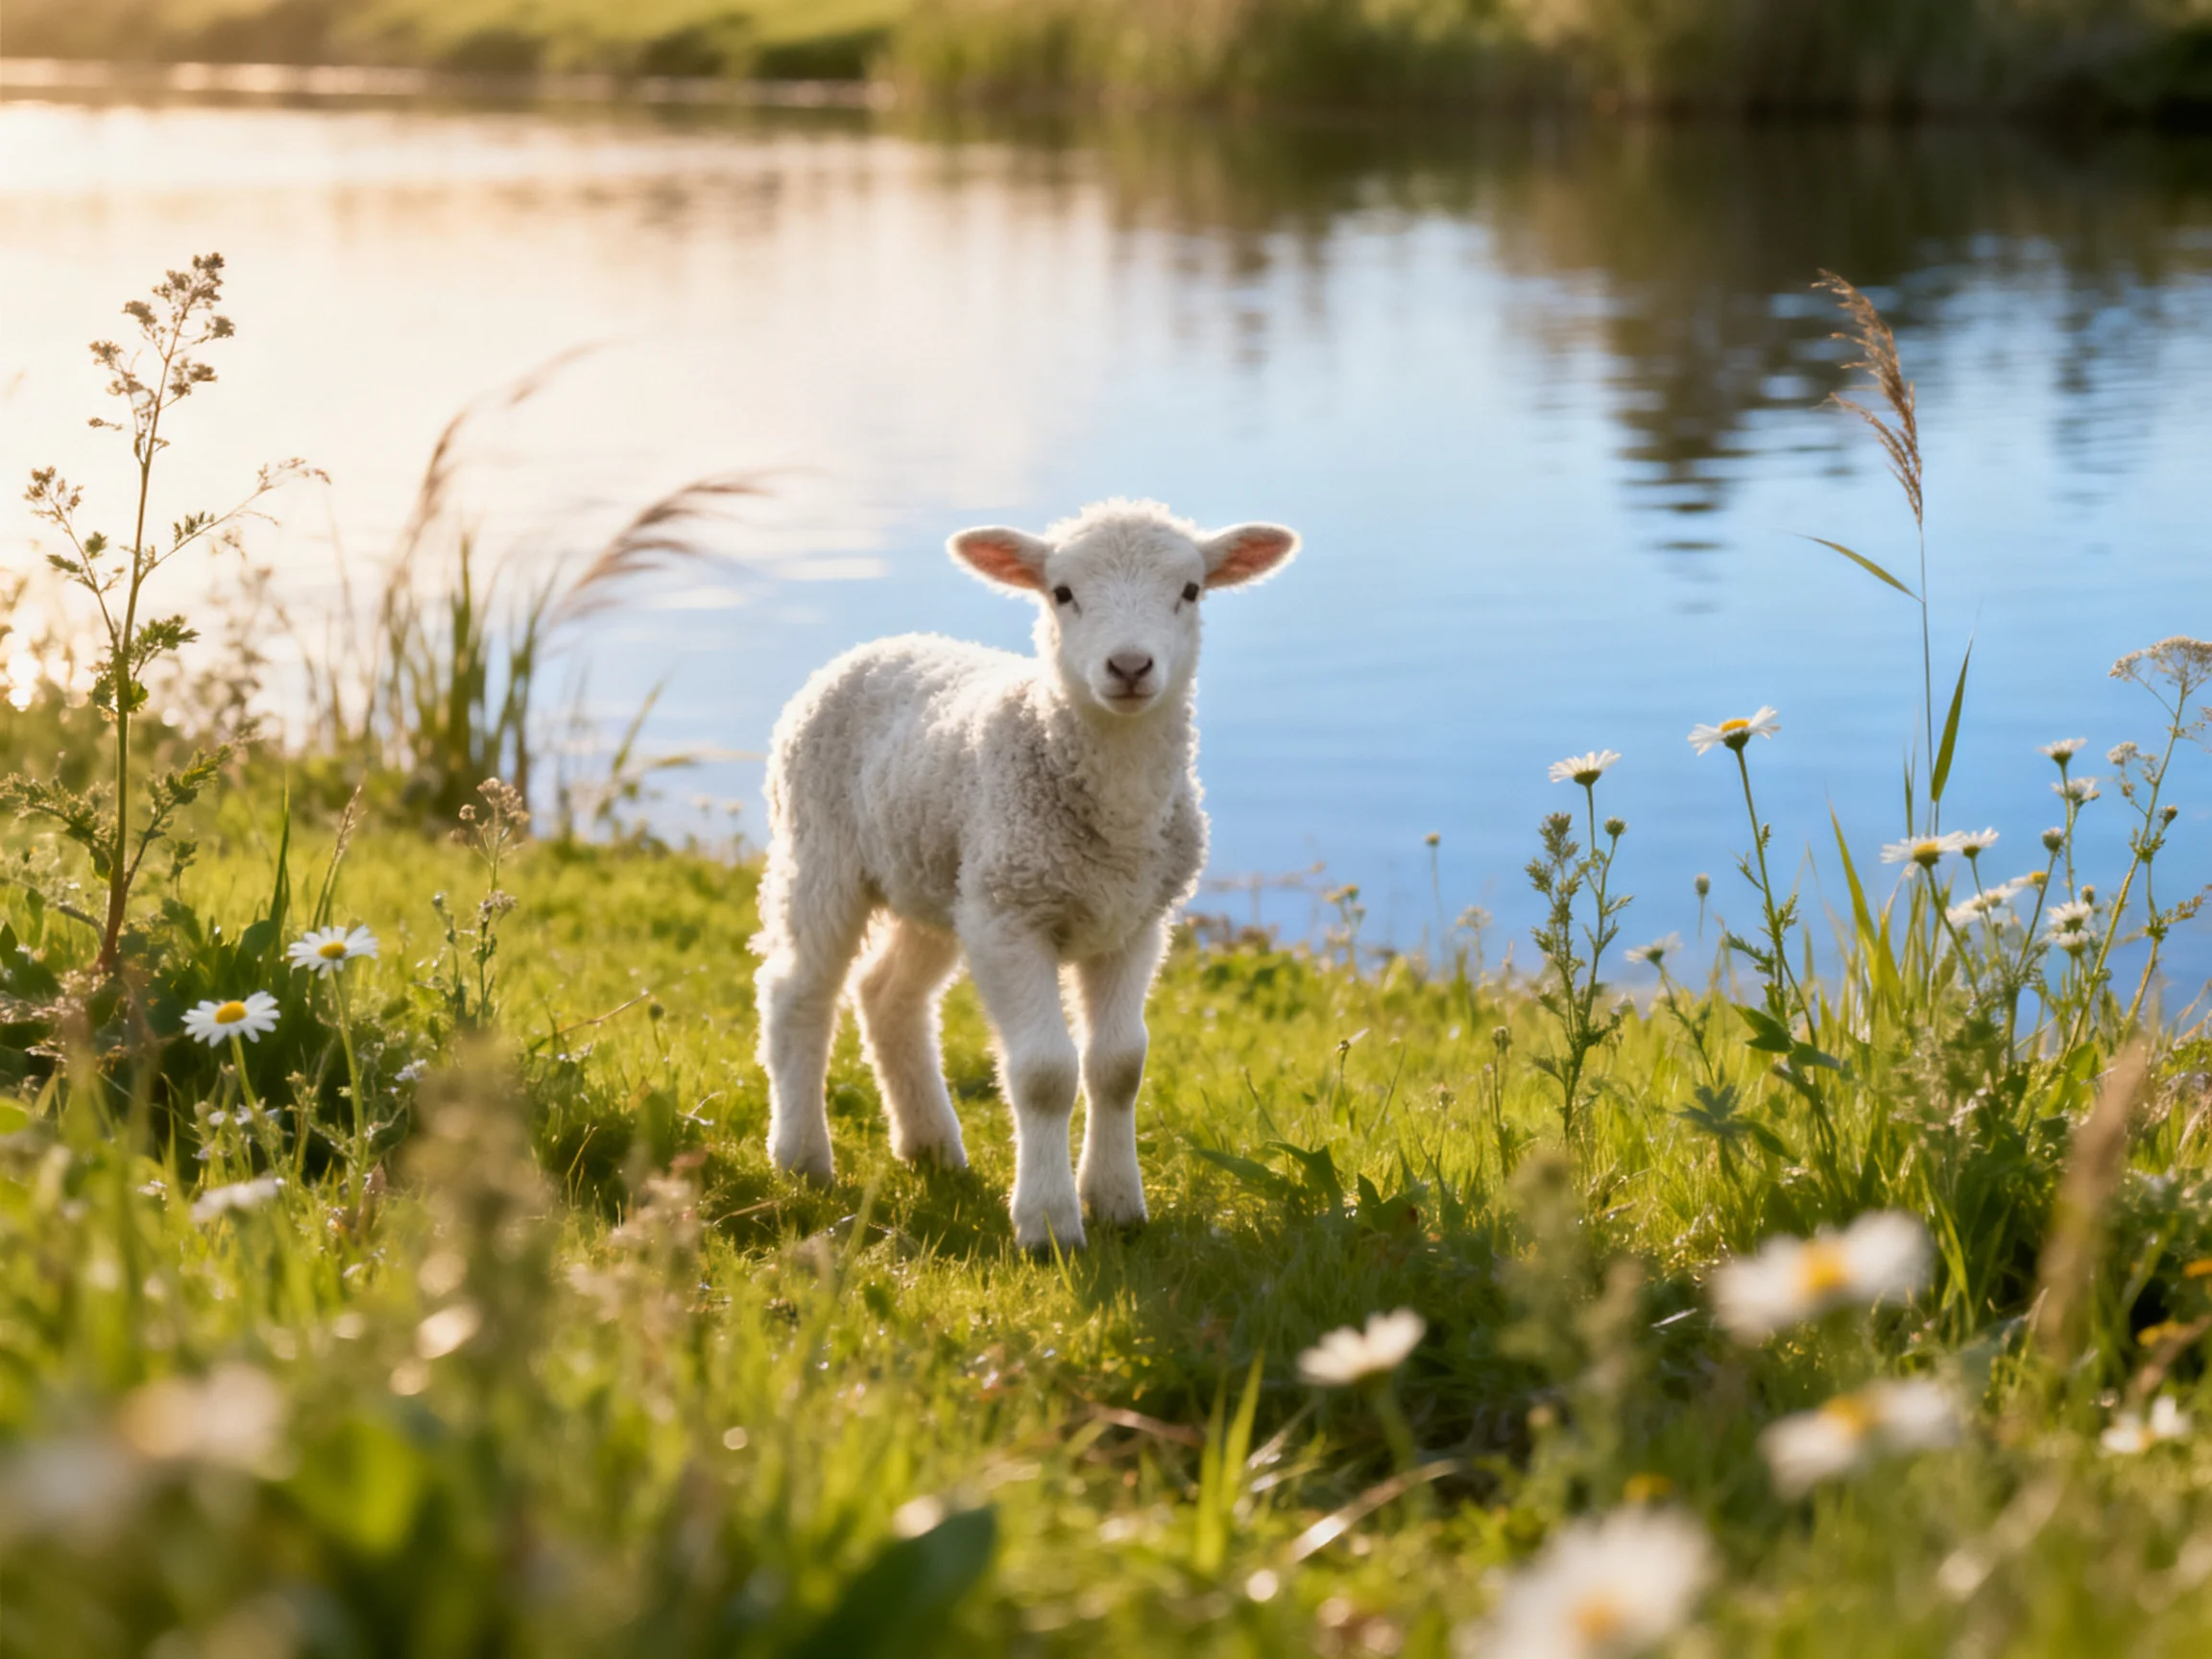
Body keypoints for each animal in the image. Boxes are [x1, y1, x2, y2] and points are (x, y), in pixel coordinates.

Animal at [752, 498, 1299, 1249]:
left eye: (1190, 591)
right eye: (1062, 593)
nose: (1130, 665)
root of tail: (883, 644)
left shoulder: (1135, 922)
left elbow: (1119, 1066)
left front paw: (1117, 1202)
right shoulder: (1013, 918)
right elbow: (1044, 1073)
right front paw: (1048, 1224)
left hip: (941, 880)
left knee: (887, 994)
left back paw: (931, 1145)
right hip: (821, 851)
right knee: (798, 993)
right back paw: (802, 1157)